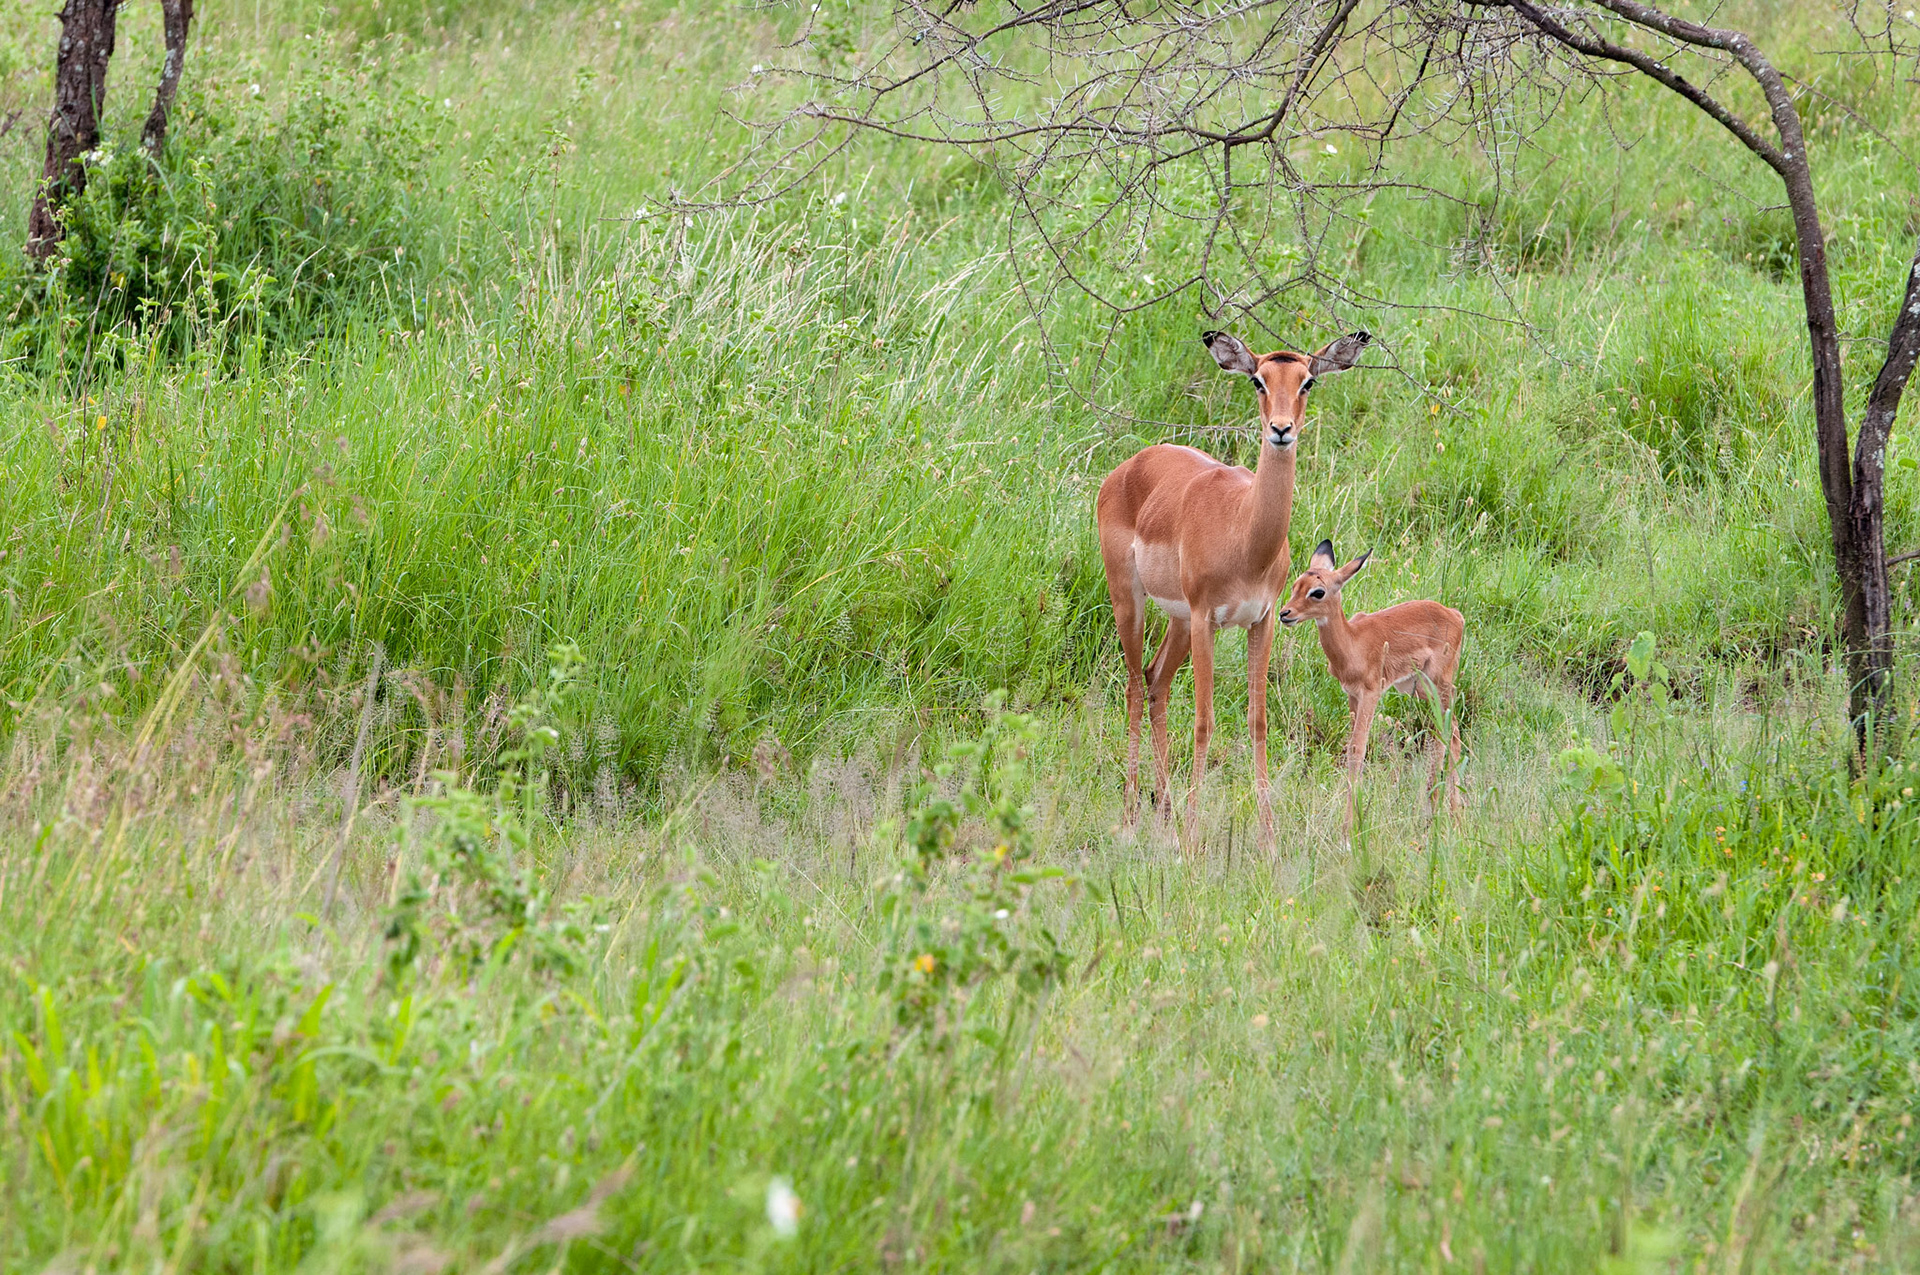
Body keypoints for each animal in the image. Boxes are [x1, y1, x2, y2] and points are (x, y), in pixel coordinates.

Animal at [1097, 328, 1371, 851]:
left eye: (1307, 381)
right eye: (1257, 380)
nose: (1281, 430)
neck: (1244, 532)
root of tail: (1129, 465)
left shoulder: (1262, 621)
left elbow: (1257, 721)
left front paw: (1269, 839)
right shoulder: (1209, 618)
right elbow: (1204, 721)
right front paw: (1193, 839)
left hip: (1180, 620)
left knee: (1156, 681)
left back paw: (1164, 814)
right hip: (1132, 601)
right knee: (1134, 687)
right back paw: (1130, 818)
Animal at [1276, 541, 1464, 820]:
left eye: (1318, 592)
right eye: (1295, 584)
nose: (1285, 614)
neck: (1353, 643)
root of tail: (1455, 614)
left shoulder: (1371, 694)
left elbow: (1358, 750)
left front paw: (1350, 824)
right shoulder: (1352, 695)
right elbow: (1351, 747)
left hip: (1438, 684)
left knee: (1448, 732)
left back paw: (1448, 810)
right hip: (1420, 689)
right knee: (1447, 732)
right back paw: (1439, 807)